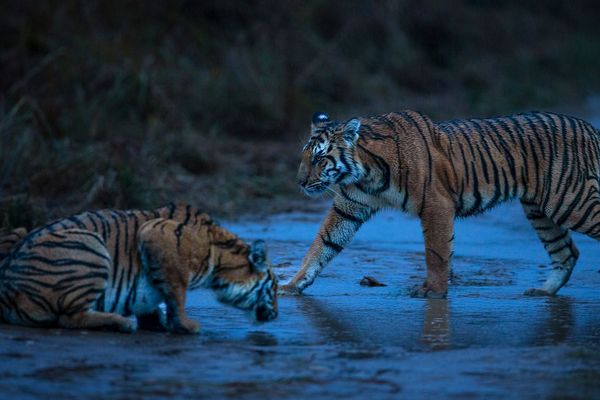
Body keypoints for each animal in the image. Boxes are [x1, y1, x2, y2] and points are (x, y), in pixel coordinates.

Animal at [0, 203, 276, 334]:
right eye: (273, 288)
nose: (276, 316)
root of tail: (7, 290)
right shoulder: (157, 234)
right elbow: (177, 293)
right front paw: (186, 326)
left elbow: (154, 299)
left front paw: (157, 323)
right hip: (91, 246)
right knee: (69, 318)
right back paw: (120, 322)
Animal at [282, 111, 600, 298]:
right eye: (305, 156)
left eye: (320, 158)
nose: (299, 182)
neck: (367, 171)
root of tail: (588, 127)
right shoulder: (348, 208)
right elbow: (321, 246)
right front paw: (292, 285)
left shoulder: (436, 205)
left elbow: (436, 254)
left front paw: (433, 293)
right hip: (541, 210)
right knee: (567, 252)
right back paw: (543, 291)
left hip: (571, 201)